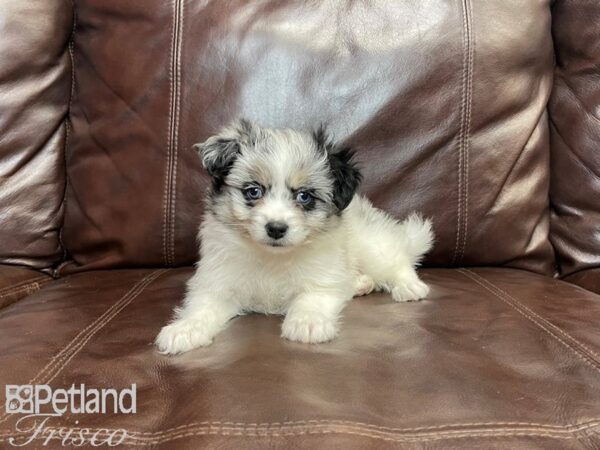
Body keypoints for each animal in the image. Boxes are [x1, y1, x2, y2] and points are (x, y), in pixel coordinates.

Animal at [157, 120, 434, 356]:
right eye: (253, 191)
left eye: (304, 196)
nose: (276, 228)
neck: (272, 257)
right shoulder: (218, 282)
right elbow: (203, 307)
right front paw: (185, 329)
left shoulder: (322, 276)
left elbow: (311, 297)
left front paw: (307, 323)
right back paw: (360, 283)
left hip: (371, 245)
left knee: (397, 260)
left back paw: (408, 286)